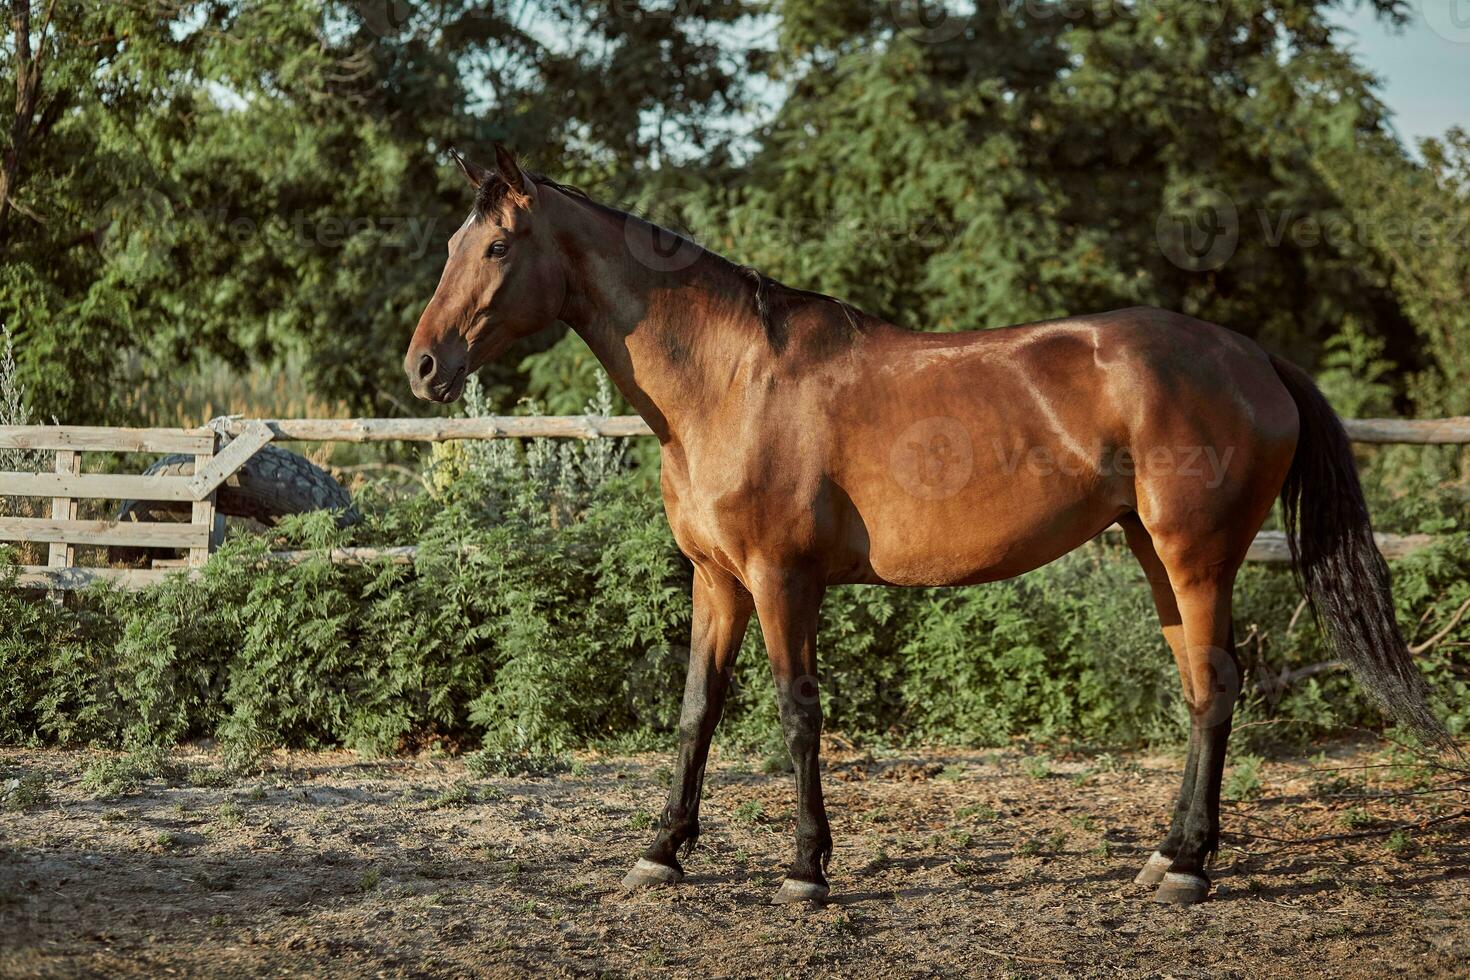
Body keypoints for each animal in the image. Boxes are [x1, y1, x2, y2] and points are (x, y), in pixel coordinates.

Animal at [402, 143, 1446, 905]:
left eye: (496, 250)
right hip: (1157, 555)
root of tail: (1253, 357)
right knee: (1199, 689)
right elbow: (697, 710)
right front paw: (662, 853)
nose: (422, 367)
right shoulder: (717, 578)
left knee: (1220, 689)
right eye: (449, 247)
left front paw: (806, 870)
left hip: (1198, 557)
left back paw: (1189, 867)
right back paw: (1167, 856)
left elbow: (797, 714)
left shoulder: (782, 578)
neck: (731, 381)